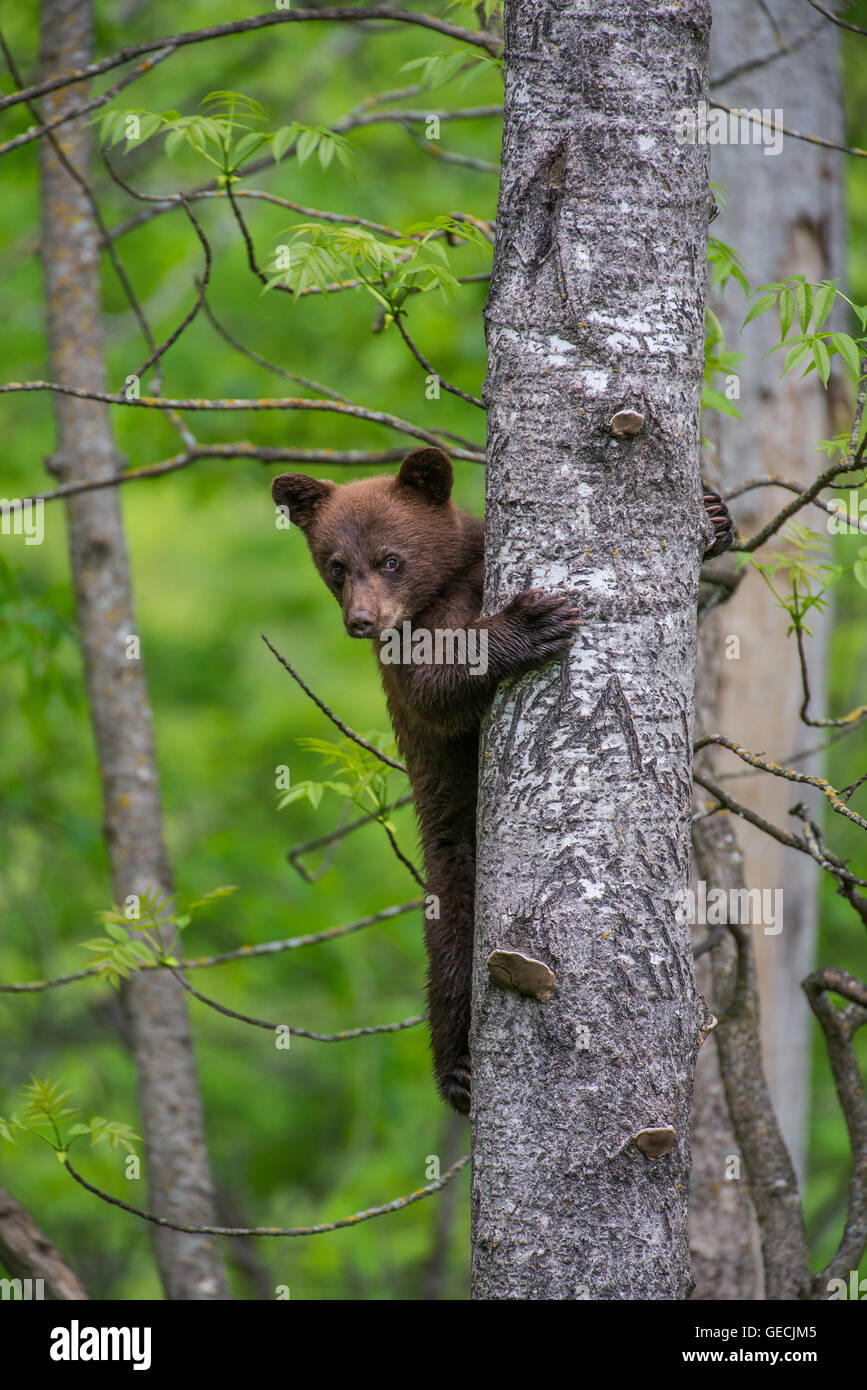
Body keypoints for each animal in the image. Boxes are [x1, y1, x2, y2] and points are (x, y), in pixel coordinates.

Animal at [271, 447, 733, 1113]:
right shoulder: (405, 657)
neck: (447, 585)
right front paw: (529, 624)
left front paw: (716, 515)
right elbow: (437, 684)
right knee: (448, 954)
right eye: (335, 566)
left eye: (391, 558)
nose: (362, 620)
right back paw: (459, 1072)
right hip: (453, 865)